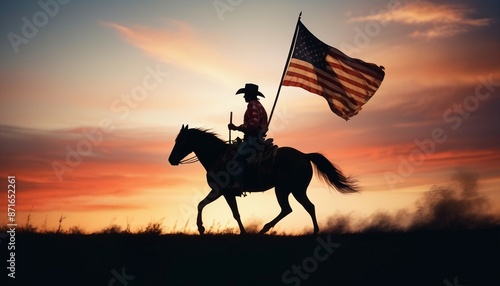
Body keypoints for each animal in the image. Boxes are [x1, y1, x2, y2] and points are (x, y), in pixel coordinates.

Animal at [168, 124, 360, 235]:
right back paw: (312, 232)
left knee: (290, 209)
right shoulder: (225, 193)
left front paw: (201, 228)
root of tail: (304, 156)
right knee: (306, 207)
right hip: (294, 190)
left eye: (180, 140)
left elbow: (202, 205)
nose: (171, 160)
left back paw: (265, 229)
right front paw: (243, 233)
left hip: (285, 190)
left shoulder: (219, 191)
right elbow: (234, 213)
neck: (217, 156)